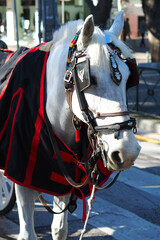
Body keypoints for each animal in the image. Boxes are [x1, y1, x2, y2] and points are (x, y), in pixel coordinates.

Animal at [14, 10, 140, 240]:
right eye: (89, 78)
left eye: (128, 79)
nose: (127, 152)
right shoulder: (22, 178)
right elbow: (27, 233)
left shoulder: (63, 179)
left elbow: (60, 229)